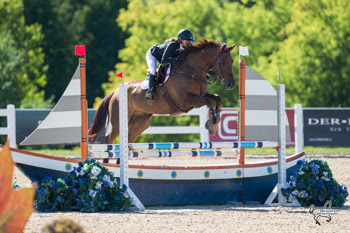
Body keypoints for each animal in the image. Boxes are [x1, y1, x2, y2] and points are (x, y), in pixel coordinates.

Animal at [88, 38, 235, 144]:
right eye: (222, 62)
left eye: (232, 61)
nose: (231, 84)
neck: (191, 71)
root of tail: (115, 92)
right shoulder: (185, 101)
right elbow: (209, 102)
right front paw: (212, 125)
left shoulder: (200, 95)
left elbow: (217, 98)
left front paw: (216, 121)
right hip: (118, 121)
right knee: (108, 140)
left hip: (140, 122)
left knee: (129, 139)